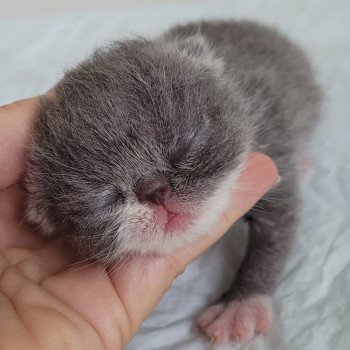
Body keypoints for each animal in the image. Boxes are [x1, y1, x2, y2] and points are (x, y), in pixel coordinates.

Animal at [24, 20, 322, 344]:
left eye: (185, 145)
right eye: (104, 197)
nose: (153, 189)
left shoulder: (271, 147)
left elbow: (272, 239)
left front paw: (241, 304)